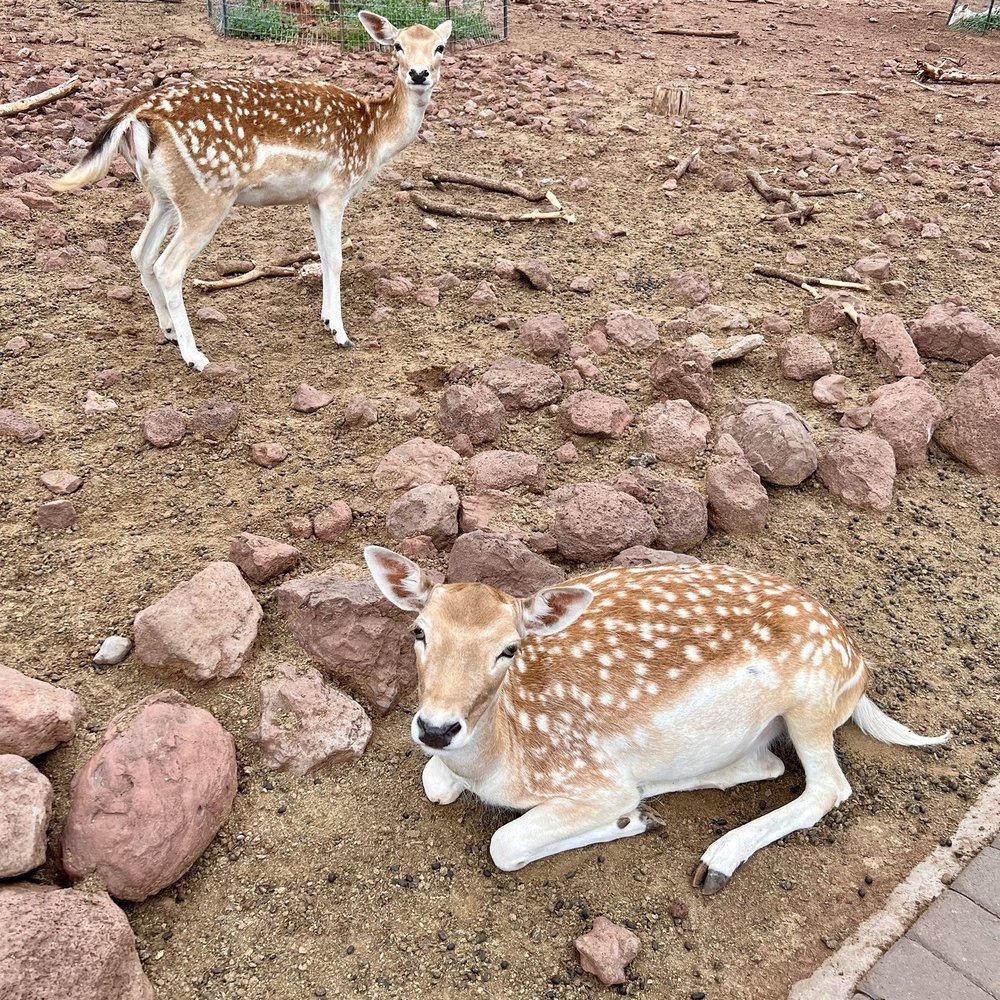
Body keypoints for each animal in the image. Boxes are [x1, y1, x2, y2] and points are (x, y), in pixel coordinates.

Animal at [50, 11, 452, 371]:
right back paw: (195, 357)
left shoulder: (312, 197)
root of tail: (134, 115)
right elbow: (337, 259)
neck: (375, 136)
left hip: (163, 194)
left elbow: (322, 256)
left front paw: (325, 320)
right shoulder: (337, 188)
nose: (419, 74)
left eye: (440, 47)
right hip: (206, 195)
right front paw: (340, 333)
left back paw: (168, 331)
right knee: (167, 266)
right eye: (398, 45)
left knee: (140, 253)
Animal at [364, 547, 949, 894]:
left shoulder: (591, 776)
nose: (437, 728)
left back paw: (716, 858)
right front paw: (637, 816)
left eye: (509, 648)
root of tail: (859, 665)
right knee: (768, 765)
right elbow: (434, 781)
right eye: (419, 630)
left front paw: (629, 820)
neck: (500, 758)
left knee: (828, 787)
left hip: (810, 702)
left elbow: (504, 844)